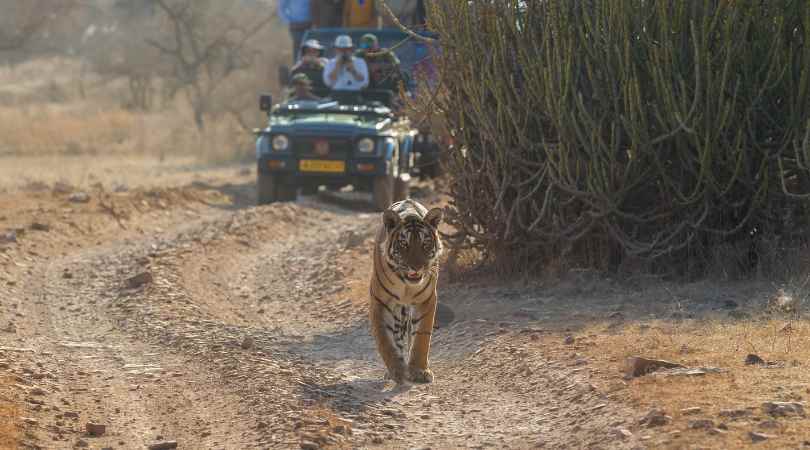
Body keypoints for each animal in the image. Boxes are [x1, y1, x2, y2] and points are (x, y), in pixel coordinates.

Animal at [370, 200, 446, 384]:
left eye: (425, 244)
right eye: (404, 244)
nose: (416, 267)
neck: (406, 285)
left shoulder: (426, 300)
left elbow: (421, 338)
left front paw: (419, 370)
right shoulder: (380, 302)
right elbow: (385, 340)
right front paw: (397, 370)